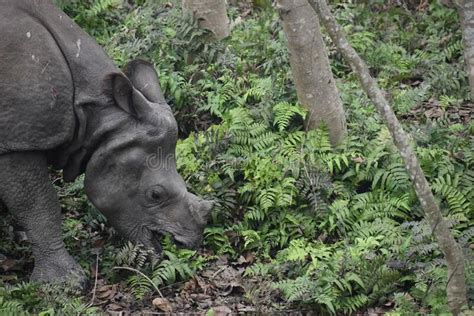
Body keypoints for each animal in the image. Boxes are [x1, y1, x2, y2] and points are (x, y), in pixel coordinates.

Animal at [0, 0, 211, 286]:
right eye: (155, 195)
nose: (191, 243)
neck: (99, 117)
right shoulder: (17, 141)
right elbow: (38, 204)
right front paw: (65, 284)